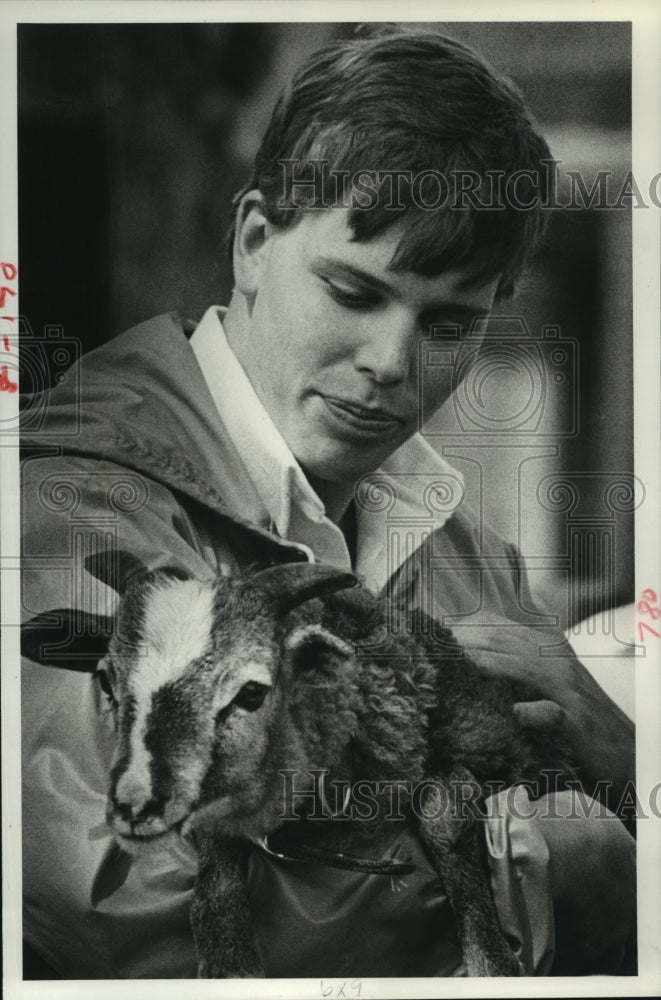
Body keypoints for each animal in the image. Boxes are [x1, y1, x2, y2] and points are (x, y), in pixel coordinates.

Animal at [23, 564, 572, 976]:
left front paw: (493, 963)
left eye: (251, 691)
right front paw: (229, 960)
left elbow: (446, 811)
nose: (134, 805)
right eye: (106, 683)